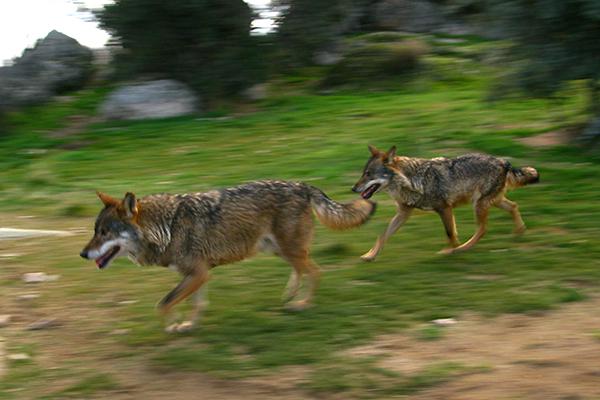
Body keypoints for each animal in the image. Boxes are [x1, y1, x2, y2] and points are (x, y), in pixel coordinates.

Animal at [79, 180, 376, 332]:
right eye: (95, 231)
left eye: (105, 233)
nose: (83, 253)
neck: (167, 227)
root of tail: (302, 185)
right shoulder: (197, 275)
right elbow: (197, 304)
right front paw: (188, 324)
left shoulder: (198, 273)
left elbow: (163, 304)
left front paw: (173, 326)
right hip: (279, 249)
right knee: (301, 269)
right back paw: (291, 295)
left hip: (288, 249)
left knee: (315, 271)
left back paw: (302, 304)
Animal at [352, 145, 540, 260]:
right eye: (363, 173)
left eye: (368, 174)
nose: (353, 188)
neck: (412, 181)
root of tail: (503, 162)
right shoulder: (404, 213)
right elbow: (382, 235)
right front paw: (370, 256)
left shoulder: (444, 208)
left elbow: (450, 233)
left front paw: (450, 250)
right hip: (492, 202)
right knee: (513, 206)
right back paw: (519, 231)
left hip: (479, 205)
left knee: (482, 229)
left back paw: (463, 247)